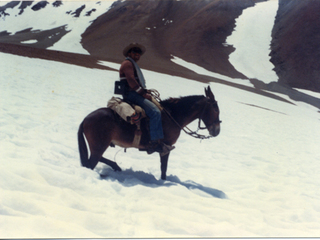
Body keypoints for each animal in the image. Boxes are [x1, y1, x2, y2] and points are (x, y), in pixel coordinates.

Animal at [79, 85, 221, 179]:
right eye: (215, 109)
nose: (217, 131)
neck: (173, 115)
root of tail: (85, 119)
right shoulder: (166, 147)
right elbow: (164, 168)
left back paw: (116, 167)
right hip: (99, 146)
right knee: (92, 163)